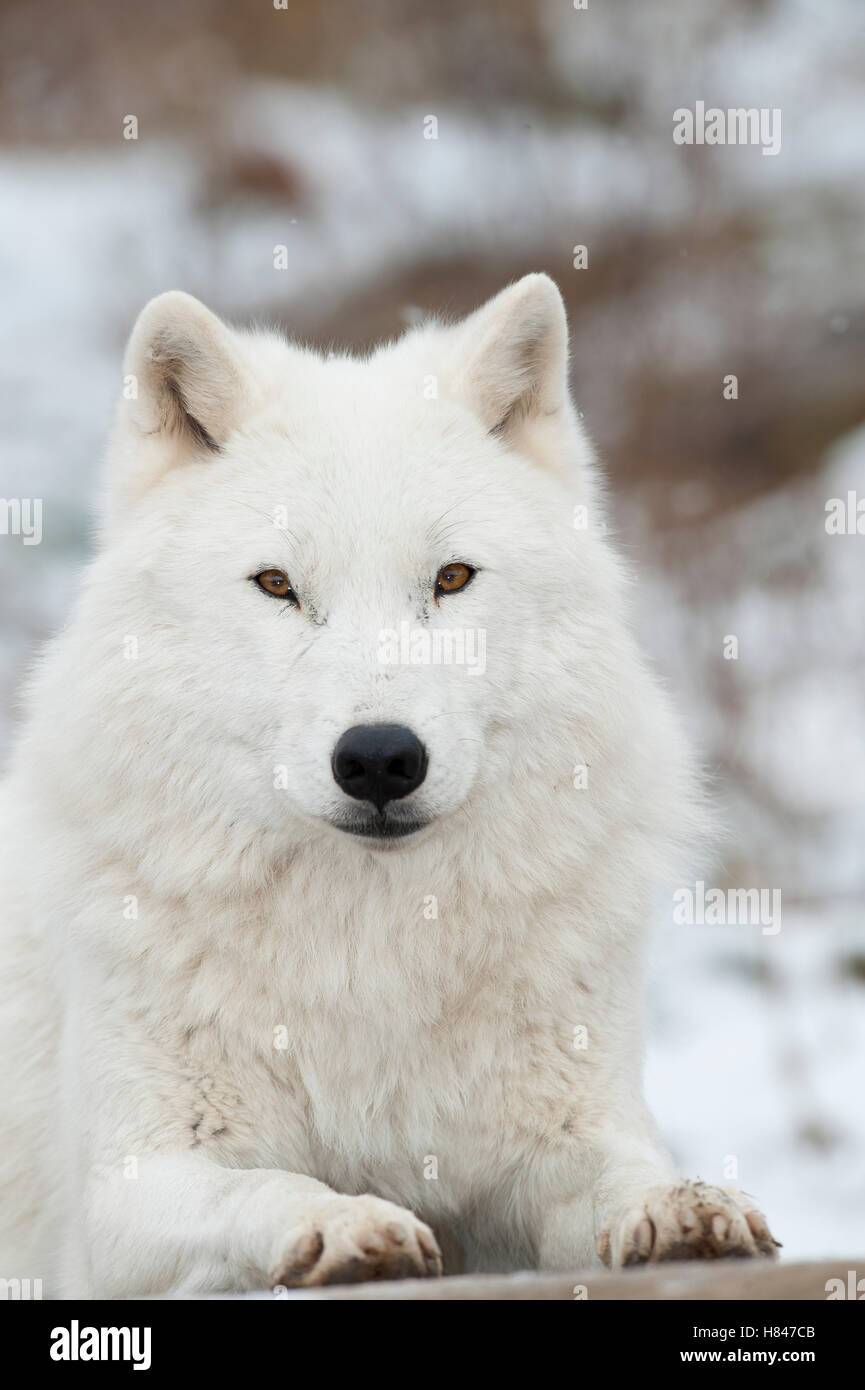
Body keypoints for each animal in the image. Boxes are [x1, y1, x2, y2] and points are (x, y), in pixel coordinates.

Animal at [0, 275, 777, 1295]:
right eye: (277, 585)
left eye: (450, 578)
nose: (377, 758)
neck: (371, 942)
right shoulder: (125, 1195)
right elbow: (266, 1186)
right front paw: (344, 1224)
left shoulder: (567, 1133)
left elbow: (622, 1172)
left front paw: (683, 1207)